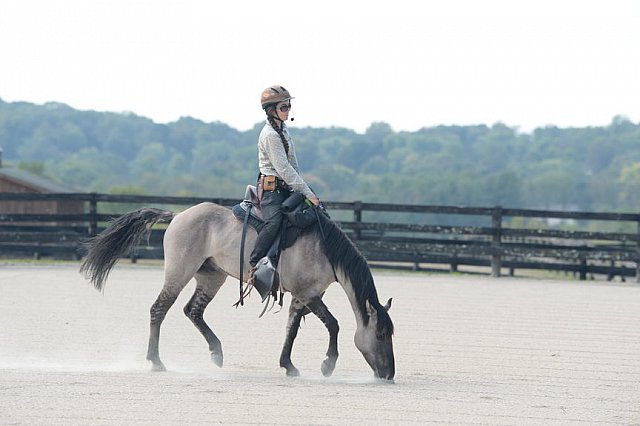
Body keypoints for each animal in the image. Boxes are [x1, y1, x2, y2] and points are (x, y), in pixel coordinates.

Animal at [80, 201, 396, 382]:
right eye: (380, 334)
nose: (389, 374)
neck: (325, 249)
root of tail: (178, 215)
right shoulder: (308, 294)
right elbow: (334, 324)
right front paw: (327, 365)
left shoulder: (301, 296)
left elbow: (291, 329)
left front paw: (288, 365)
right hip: (179, 272)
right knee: (159, 309)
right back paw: (156, 362)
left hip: (211, 276)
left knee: (192, 311)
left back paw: (216, 353)